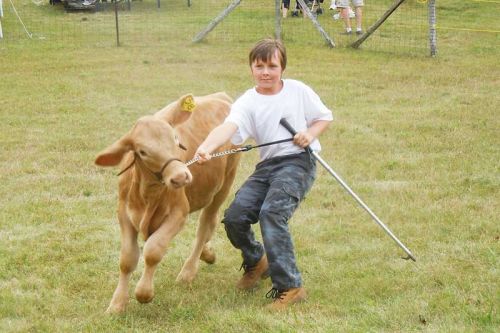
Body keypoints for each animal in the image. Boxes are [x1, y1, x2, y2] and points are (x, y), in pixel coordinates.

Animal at [96, 92, 241, 312]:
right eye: (143, 151)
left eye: (175, 139)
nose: (181, 177)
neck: (147, 194)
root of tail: (220, 96)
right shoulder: (124, 214)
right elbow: (127, 259)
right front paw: (117, 304)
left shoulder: (178, 214)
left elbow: (153, 250)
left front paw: (143, 293)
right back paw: (207, 254)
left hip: (224, 184)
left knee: (205, 225)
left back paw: (188, 271)